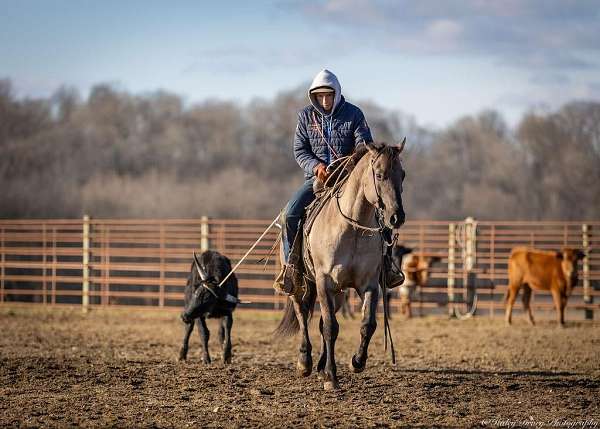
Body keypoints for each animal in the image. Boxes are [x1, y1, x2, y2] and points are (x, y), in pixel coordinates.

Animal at [274, 142, 406, 390]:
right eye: (379, 175)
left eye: (402, 175)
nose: (396, 217)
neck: (352, 226)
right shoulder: (324, 282)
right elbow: (330, 327)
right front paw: (332, 378)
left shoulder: (369, 284)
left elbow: (367, 324)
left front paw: (357, 362)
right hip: (300, 284)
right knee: (302, 314)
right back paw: (305, 362)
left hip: (339, 292)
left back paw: (320, 367)